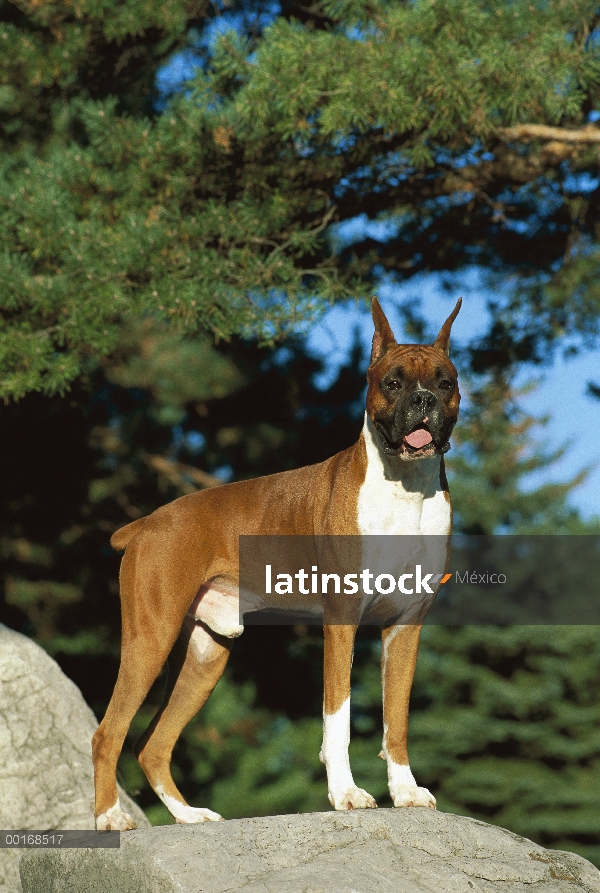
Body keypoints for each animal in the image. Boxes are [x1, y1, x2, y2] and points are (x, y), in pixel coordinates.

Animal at [92, 294, 460, 828]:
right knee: (109, 733)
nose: (424, 401)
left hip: (206, 656)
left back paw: (190, 815)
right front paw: (346, 794)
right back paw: (108, 819)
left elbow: (397, 720)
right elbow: (337, 718)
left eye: (444, 382)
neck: (404, 489)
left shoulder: (405, 628)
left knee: (152, 745)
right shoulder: (342, 622)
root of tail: (144, 524)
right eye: (393, 383)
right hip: (150, 640)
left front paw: (406, 791)